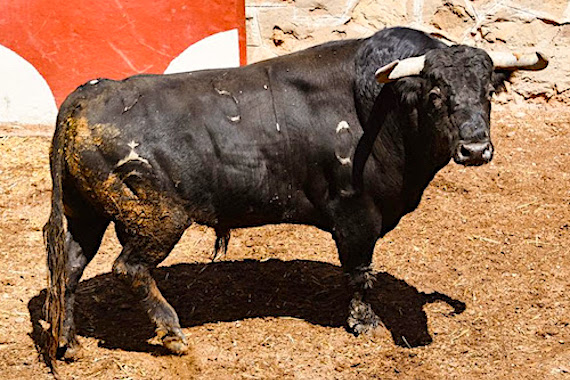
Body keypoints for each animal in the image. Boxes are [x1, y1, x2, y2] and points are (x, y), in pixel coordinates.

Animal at [43, 26, 540, 366]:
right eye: (436, 94)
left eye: (488, 93)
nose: (475, 149)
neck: (380, 107)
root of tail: (87, 96)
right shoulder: (355, 213)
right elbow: (360, 273)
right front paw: (365, 323)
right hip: (156, 219)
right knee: (129, 268)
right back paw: (173, 334)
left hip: (85, 215)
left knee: (69, 269)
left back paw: (69, 342)